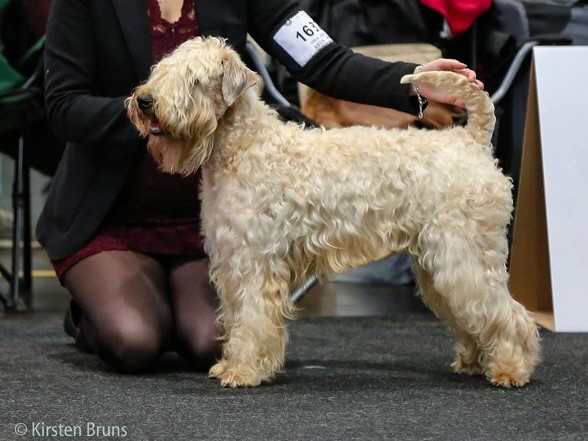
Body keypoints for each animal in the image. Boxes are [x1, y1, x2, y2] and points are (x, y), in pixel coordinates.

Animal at [129, 37, 544, 388]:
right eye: (162, 69)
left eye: (194, 78)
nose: (145, 100)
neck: (243, 146)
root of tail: (470, 140)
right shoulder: (231, 261)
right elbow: (235, 318)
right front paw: (231, 363)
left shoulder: (254, 262)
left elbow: (251, 319)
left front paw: (243, 371)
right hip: (437, 264)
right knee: (470, 314)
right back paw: (474, 362)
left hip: (464, 255)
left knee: (506, 313)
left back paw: (511, 368)